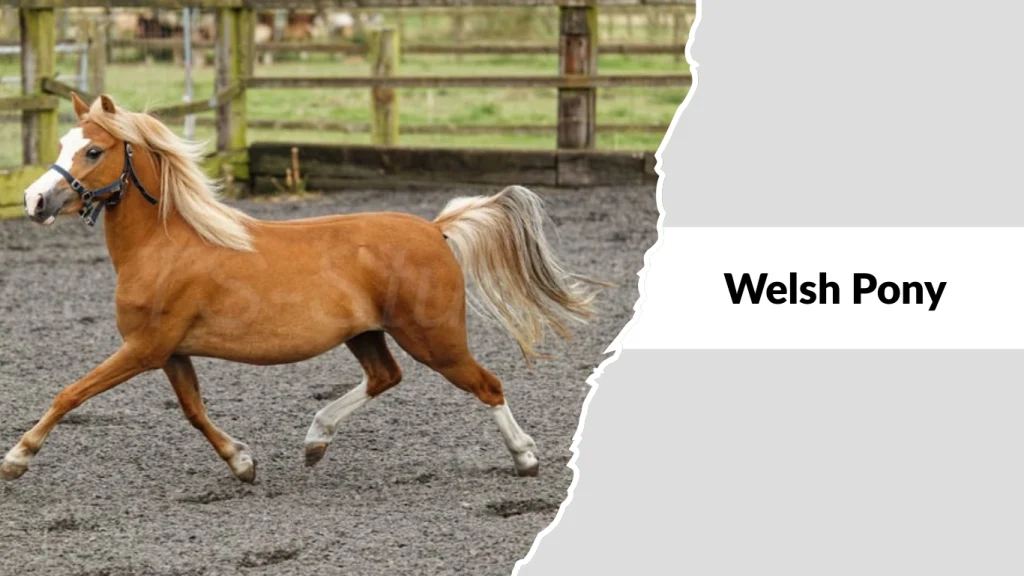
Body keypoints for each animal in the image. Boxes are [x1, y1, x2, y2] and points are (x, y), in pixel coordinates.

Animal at [1, 93, 603, 484]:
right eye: (65, 141)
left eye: (94, 151)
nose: (34, 201)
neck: (167, 245)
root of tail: (434, 229)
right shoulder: (170, 351)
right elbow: (193, 410)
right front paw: (243, 463)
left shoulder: (144, 348)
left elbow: (70, 393)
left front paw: (16, 459)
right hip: (368, 334)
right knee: (385, 377)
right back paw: (315, 441)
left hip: (434, 338)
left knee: (487, 384)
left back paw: (525, 458)